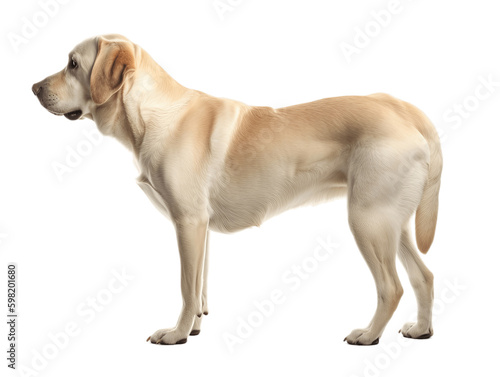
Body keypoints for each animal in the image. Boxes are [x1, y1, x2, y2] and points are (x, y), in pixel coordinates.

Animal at [33, 33, 444, 346]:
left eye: (73, 64)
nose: (33, 87)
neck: (151, 114)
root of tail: (402, 107)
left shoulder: (188, 222)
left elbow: (186, 288)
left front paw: (176, 334)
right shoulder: (200, 228)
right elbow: (200, 287)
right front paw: (194, 328)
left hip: (367, 220)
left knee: (392, 287)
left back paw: (369, 334)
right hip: (390, 223)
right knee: (423, 276)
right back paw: (422, 329)